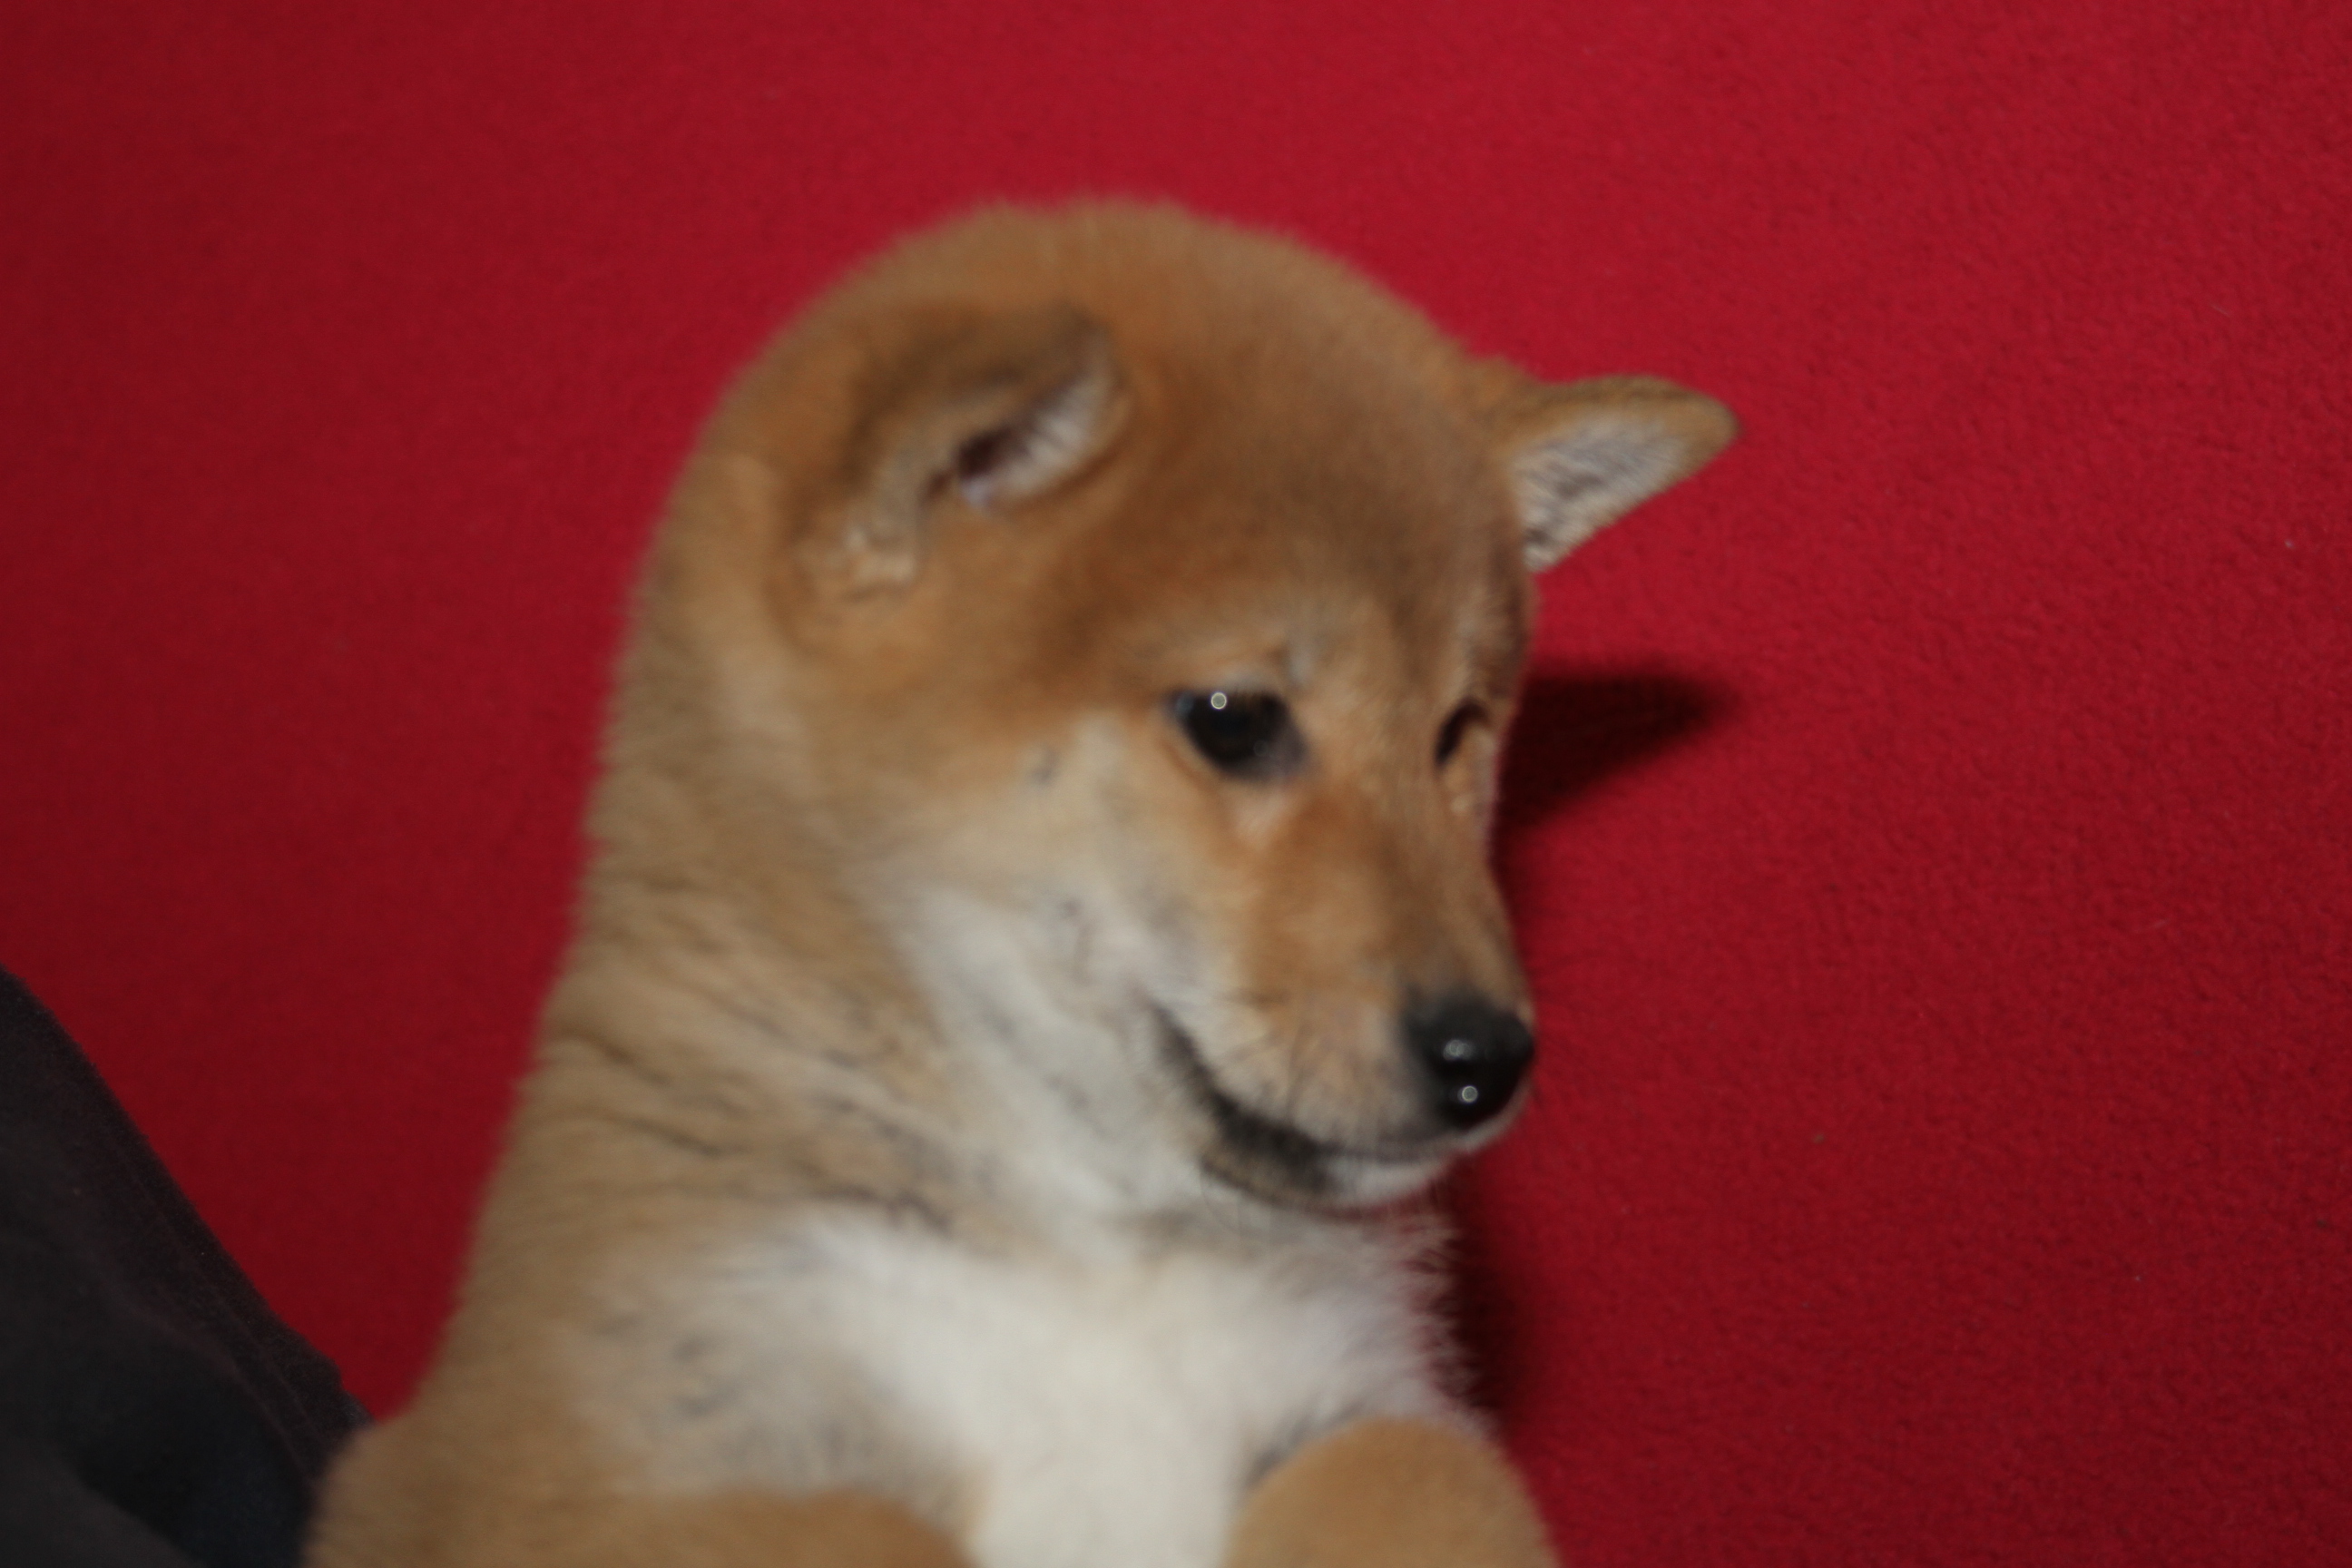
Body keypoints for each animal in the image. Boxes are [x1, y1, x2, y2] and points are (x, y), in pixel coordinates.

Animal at [303, 203, 1734, 1568]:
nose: (1490, 1057)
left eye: (1455, 733)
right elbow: (853, 1535)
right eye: (1234, 721)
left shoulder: (1361, 1410)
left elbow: (1415, 1487)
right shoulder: (653, 1447)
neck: (1091, 1233)